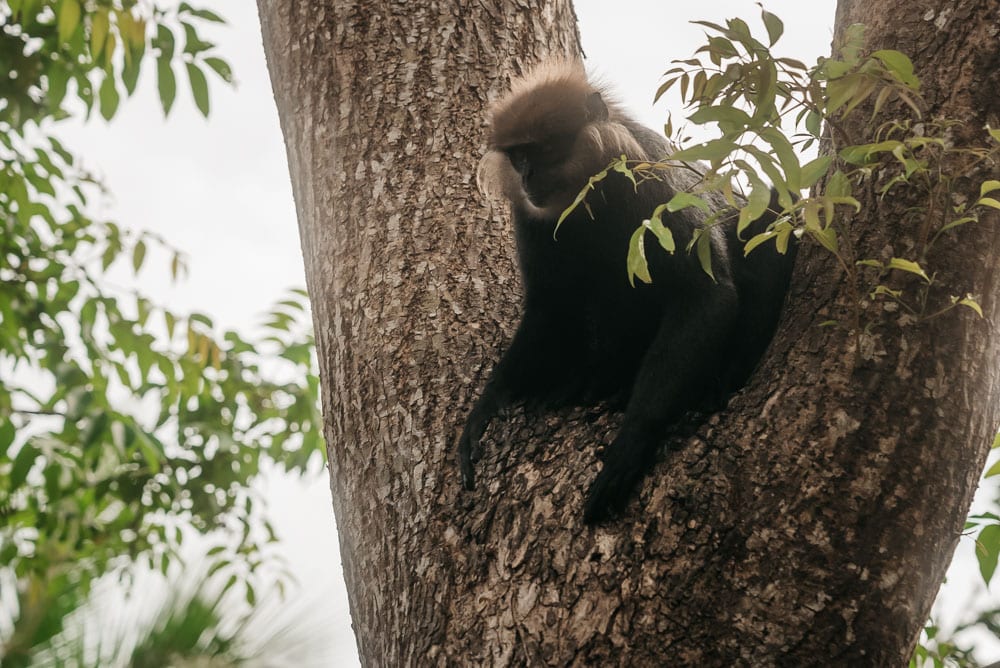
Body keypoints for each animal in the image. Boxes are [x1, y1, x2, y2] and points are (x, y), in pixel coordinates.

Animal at [460, 57, 796, 524]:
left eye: (542, 151)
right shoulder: (530, 217)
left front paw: (630, 444)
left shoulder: (649, 182)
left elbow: (705, 295)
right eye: (519, 156)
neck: (587, 194)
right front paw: (485, 408)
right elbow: (549, 308)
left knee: (769, 216)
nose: (525, 178)